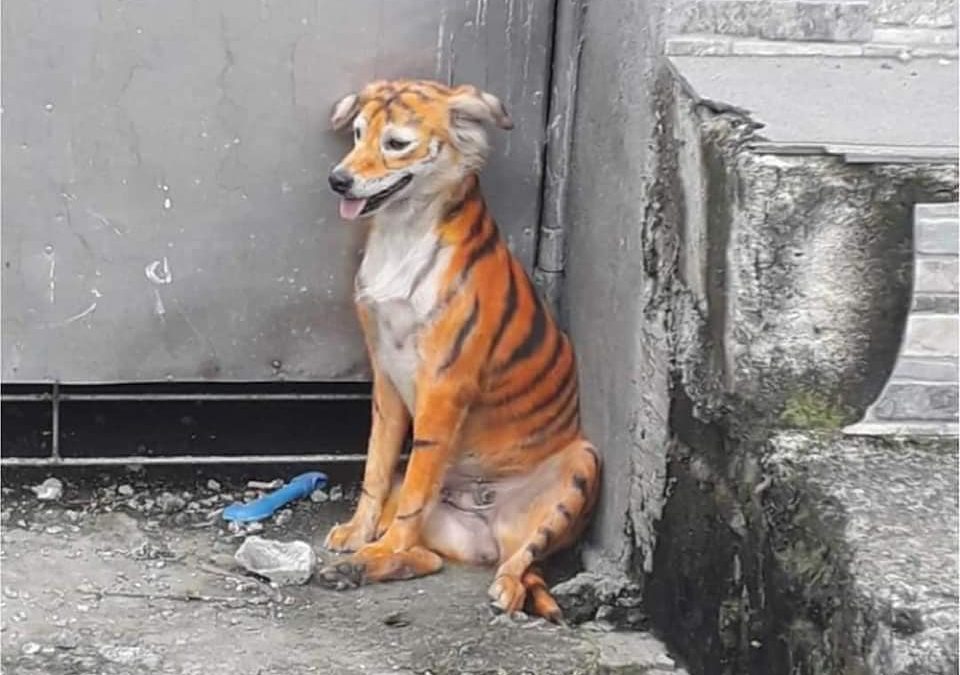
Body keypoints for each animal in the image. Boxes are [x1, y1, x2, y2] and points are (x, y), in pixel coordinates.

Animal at [318, 79, 601, 622]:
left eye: (396, 143)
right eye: (358, 133)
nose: (337, 181)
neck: (402, 232)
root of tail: (488, 524)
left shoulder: (444, 384)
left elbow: (414, 492)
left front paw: (378, 546)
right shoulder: (385, 376)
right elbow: (376, 467)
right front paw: (359, 536)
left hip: (583, 464)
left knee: (519, 564)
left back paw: (499, 589)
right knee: (428, 558)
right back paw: (356, 567)